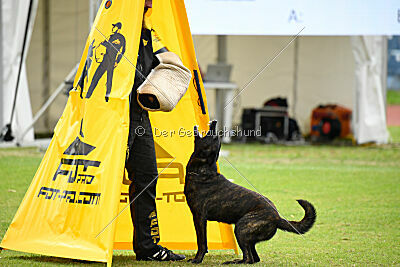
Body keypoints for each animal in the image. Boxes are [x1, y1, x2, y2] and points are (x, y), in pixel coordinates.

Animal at [184, 122, 316, 266]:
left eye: (213, 136)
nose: (214, 122)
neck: (202, 170)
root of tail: (277, 217)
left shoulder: (199, 217)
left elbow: (202, 242)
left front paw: (197, 259)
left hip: (241, 228)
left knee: (249, 259)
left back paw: (233, 262)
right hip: (247, 235)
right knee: (254, 258)